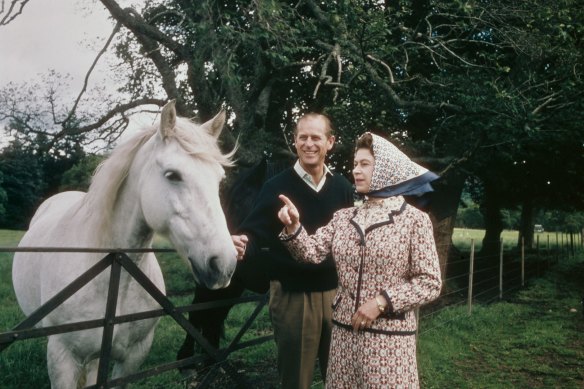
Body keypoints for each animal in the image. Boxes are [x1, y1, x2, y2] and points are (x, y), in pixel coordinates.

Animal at [10, 101, 237, 388]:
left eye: (219, 179)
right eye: (173, 175)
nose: (224, 264)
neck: (113, 273)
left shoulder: (132, 358)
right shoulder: (62, 358)